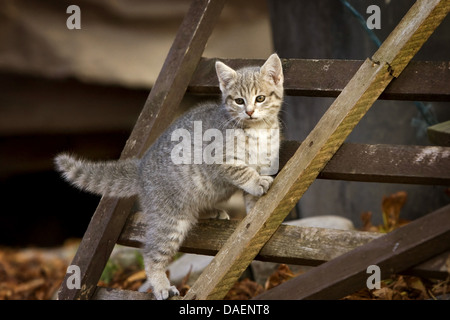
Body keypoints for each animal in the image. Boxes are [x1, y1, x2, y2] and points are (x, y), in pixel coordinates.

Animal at [54, 53, 284, 300]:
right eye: (239, 101)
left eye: (260, 98)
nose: (249, 111)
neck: (258, 131)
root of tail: (141, 167)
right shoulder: (219, 159)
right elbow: (243, 171)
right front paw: (256, 181)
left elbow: (252, 198)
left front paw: (256, 213)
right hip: (170, 221)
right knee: (151, 254)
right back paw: (161, 286)